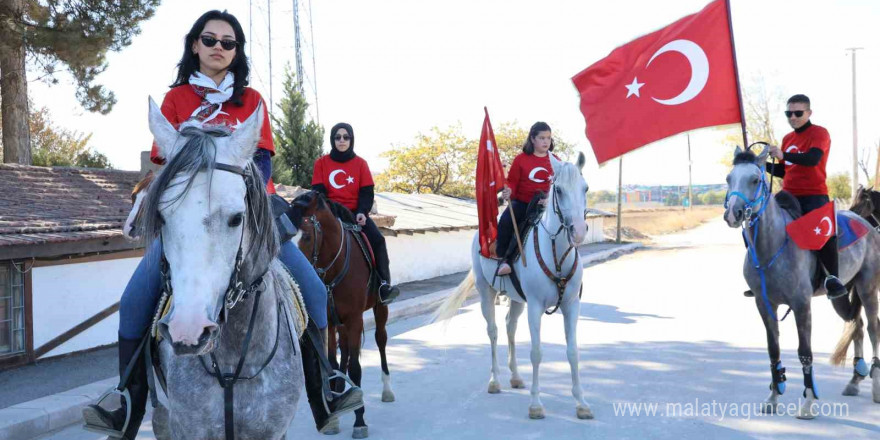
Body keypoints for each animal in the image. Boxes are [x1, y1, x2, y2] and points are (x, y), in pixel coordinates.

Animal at [292, 191, 396, 438]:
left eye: (307, 236)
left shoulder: (355, 319)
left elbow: (356, 369)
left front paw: (360, 421)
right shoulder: (330, 321)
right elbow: (331, 361)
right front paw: (335, 410)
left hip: (380, 309)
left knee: (380, 341)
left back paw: (387, 390)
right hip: (341, 323)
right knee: (345, 351)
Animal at [434, 153, 592, 422]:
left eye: (585, 188)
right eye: (559, 190)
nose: (579, 232)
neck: (556, 253)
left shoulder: (571, 306)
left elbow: (573, 352)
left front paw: (581, 403)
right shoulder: (536, 307)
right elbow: (537, 352)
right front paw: (536, 405)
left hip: (517, 298)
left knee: (510, 326)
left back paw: (516, 377)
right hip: (486, 292)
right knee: (494, 331)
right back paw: (495, 380)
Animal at [720, 145, 880, 420]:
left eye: (754, 179)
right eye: (729, 179)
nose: (733, 214)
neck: (772, 246)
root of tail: (866, 224)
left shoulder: (801, 304)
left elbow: (805, 353)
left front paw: (808, 403)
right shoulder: (765, 304)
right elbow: (773, 349)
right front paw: (773, 396)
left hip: (867, 288)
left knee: (872, 329)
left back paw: (875, 388)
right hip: (842, 295)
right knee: (856, 325)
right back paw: (854, 381)